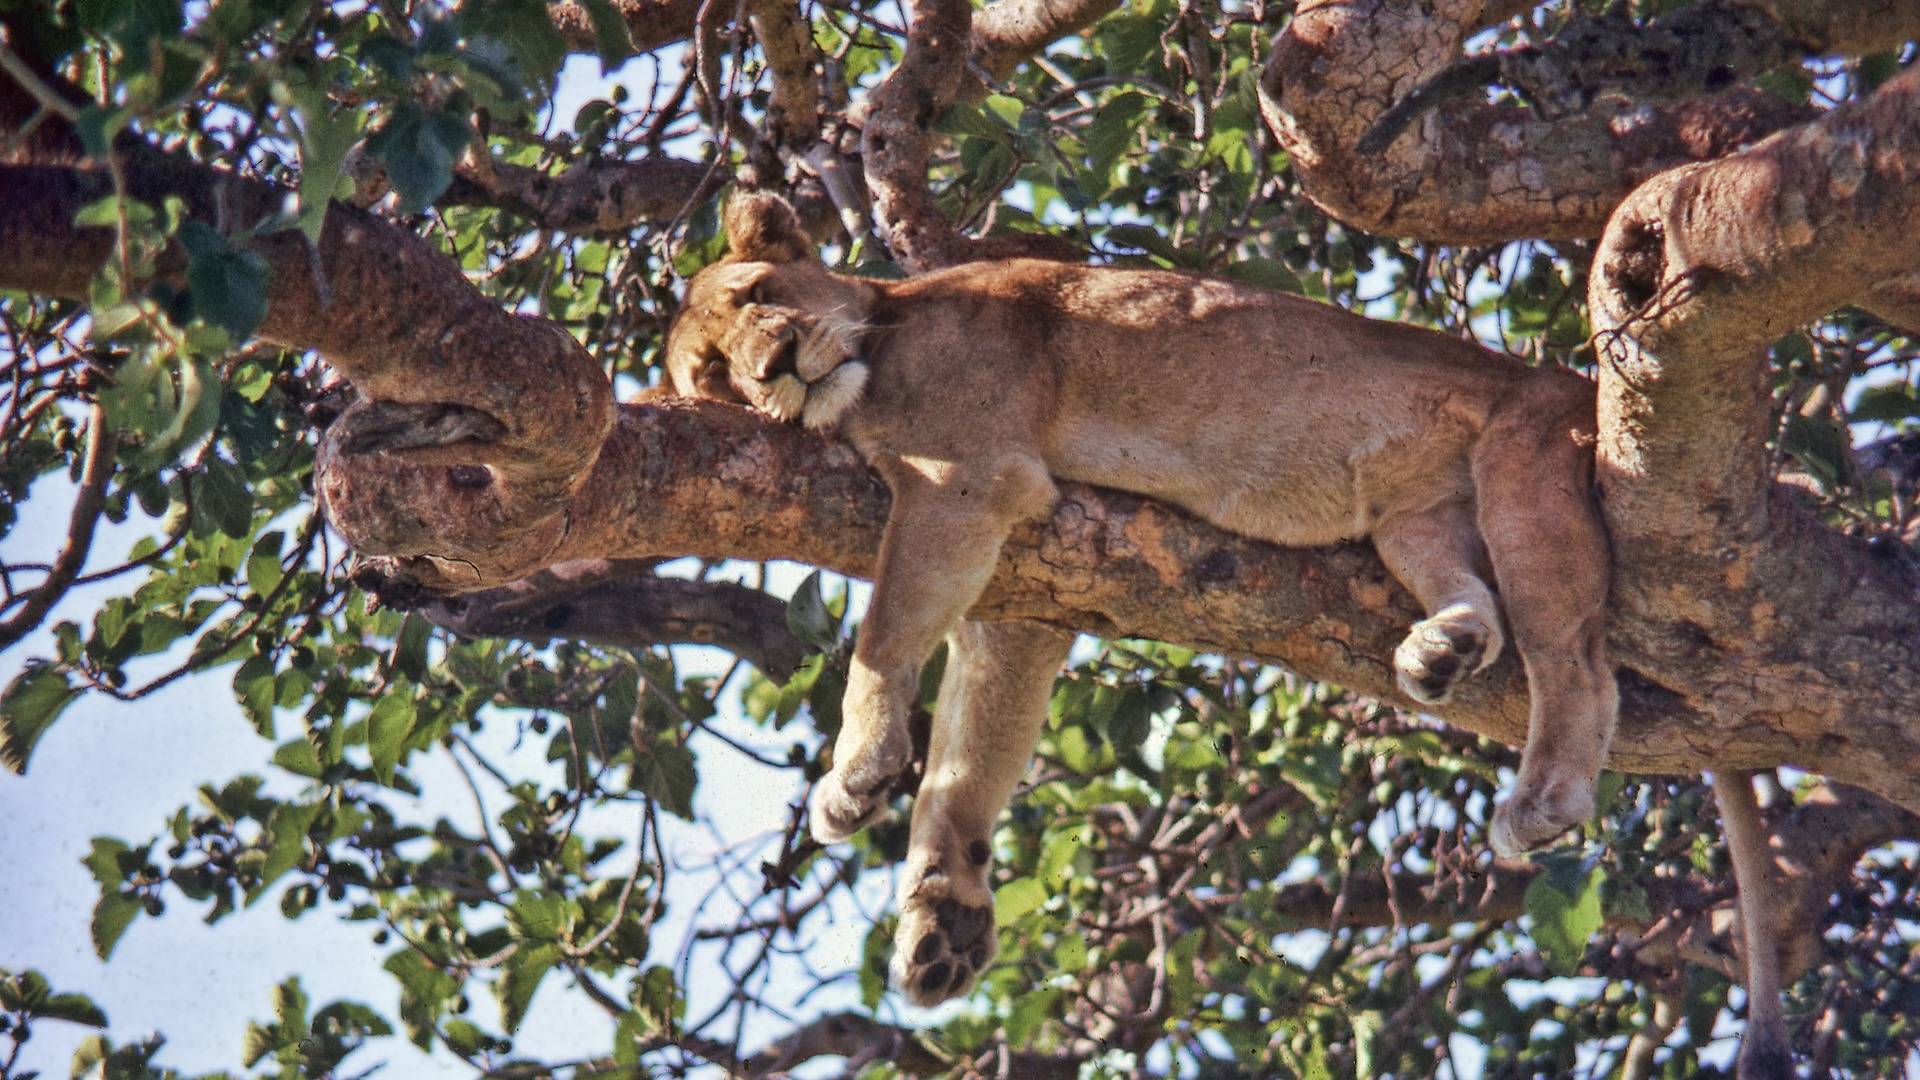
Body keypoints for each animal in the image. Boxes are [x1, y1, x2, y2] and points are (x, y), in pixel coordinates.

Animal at [659, 192, 1619, 1007]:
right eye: (715, 371)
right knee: (1473, 594)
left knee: (1577, 662)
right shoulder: (1016, 598)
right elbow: (967, 758)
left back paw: (1543, 800)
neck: (881, 333)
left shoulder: (963, 478)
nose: (776, 364)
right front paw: (945, 914)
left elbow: (882, 639)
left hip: (1525, 459)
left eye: (757, 294)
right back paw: (1442, 647)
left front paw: (855, 770)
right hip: (1415, 521)